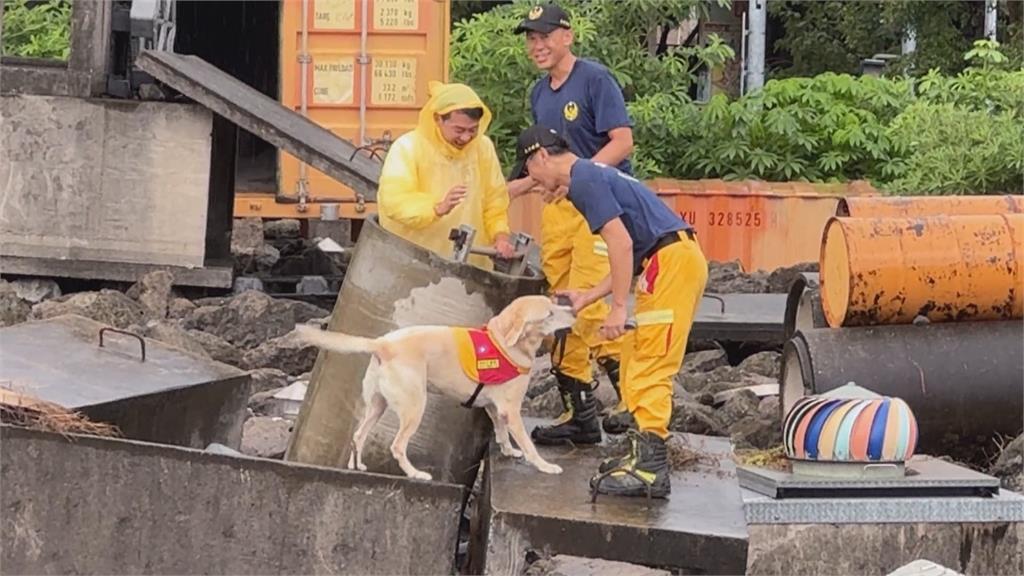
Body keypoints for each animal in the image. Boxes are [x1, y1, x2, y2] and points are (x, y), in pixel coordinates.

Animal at [292, 293, 577, 477]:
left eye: (554, 303)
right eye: (550, 313)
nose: (574, 311)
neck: (505, 342)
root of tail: (383, 343)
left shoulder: (495, 409)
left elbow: (502, 432)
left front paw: (509, 451)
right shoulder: (511, 410)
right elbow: (527, 444)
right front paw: (544, 465)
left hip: (377, 405)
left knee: (358, 435)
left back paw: (356, 466)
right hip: (414, 406)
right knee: (397, 446)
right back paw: (416, 474)